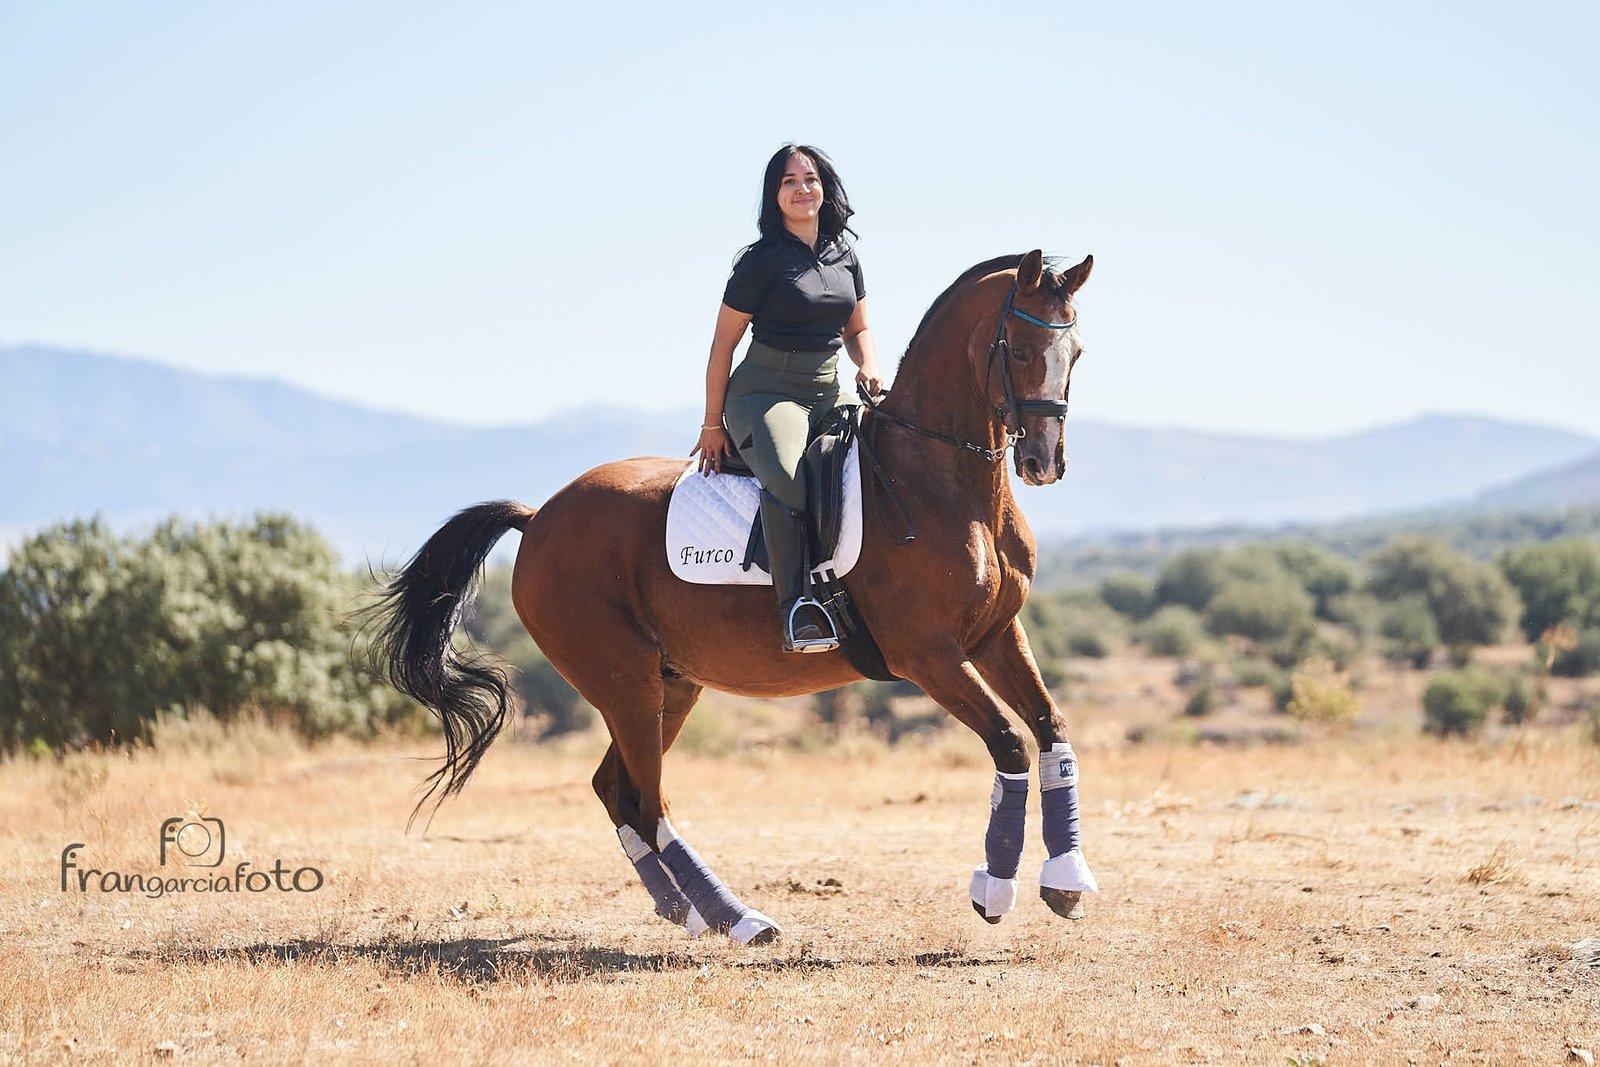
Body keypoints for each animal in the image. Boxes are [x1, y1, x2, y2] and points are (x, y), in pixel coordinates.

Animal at [364, 249, 1097, 945]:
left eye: (1077, 353)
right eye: (1021, 350)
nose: (1043, 463)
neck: (938, 477)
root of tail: (539, 516)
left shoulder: (996, 635)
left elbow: (1052, 729)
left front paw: (1066, 882)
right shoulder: (929, 656)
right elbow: (1009, 742)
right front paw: (994, 891)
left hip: (671, 682)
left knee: (617, 788)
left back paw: (685, 910)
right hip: (625, 682)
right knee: (648, 801)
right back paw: (737, 919)